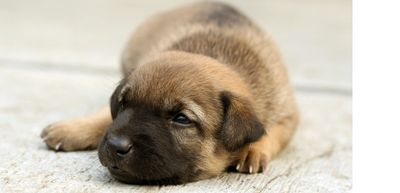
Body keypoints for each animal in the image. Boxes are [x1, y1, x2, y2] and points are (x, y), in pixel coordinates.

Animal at [40, 2, 298, 185]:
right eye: (123, 104)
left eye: (181, 119)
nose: (115, 145)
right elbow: (105, 114)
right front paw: (74, 129)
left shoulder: (289, 114)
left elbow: (272, 133)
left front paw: (253, 150)